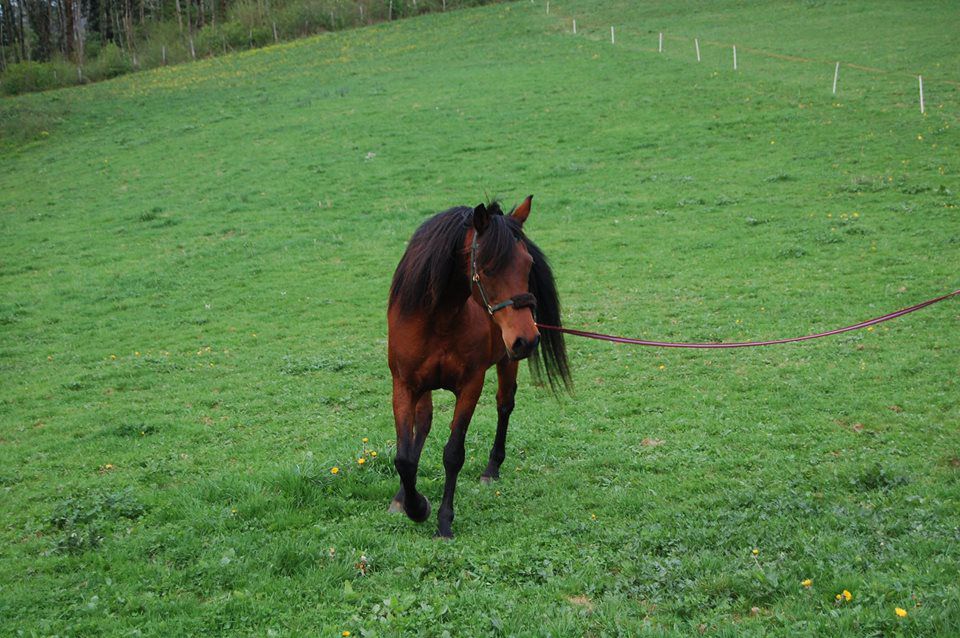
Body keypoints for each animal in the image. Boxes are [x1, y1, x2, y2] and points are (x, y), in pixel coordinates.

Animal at [387, 195, 572, 538]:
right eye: (487, 268)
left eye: (528, 264)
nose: (527, 339)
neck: (439, 320)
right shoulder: (404, 385)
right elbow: (405, 457)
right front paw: (414, 505)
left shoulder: (470, 385)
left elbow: (453, 454)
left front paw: (442, 521)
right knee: (424, 422)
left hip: (506, 360)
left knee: (504, 404)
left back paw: (491, 468)